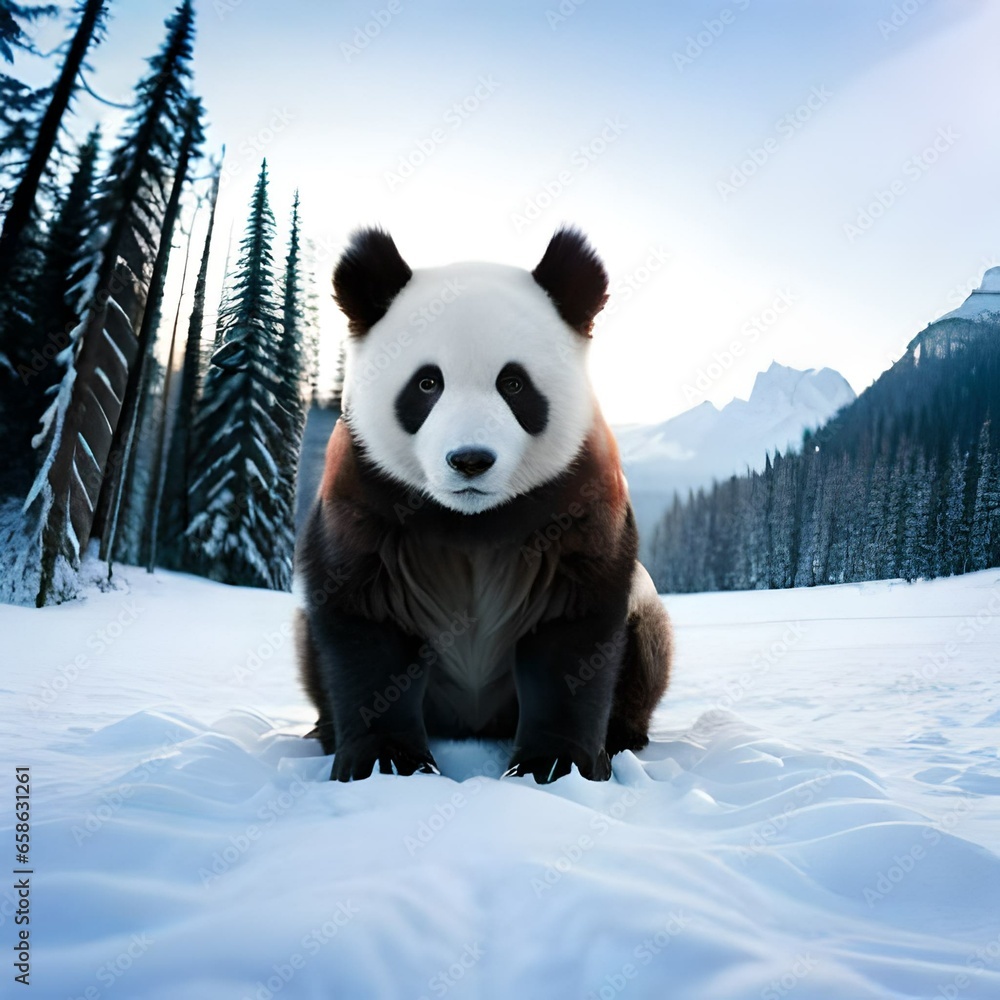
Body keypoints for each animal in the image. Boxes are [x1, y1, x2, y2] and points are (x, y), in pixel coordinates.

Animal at [295, 227, 672, 783]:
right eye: (427, 383)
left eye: (513, 384)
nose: (470, 460)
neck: (472, 523)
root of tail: (470, 722)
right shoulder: (365, 492)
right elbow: (365, 622)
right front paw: (387, 763)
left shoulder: (578, 496)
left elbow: (573, 630)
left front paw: (554, 765)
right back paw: (322, 732)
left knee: (648, 647)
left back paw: (624, 734)